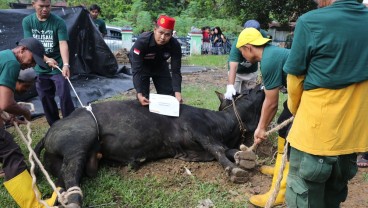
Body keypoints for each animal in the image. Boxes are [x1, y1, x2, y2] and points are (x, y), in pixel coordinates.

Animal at [34, 85, 264, 207]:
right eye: (249, 91)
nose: (261, 85)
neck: (222, 123)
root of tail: (49, 131)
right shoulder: (199, 131)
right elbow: (218, 150)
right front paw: (235, 170)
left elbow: (228, 150)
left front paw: (245, 158)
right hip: (79, 141)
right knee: (71, 174)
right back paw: (74, 199)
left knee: (61, 180)